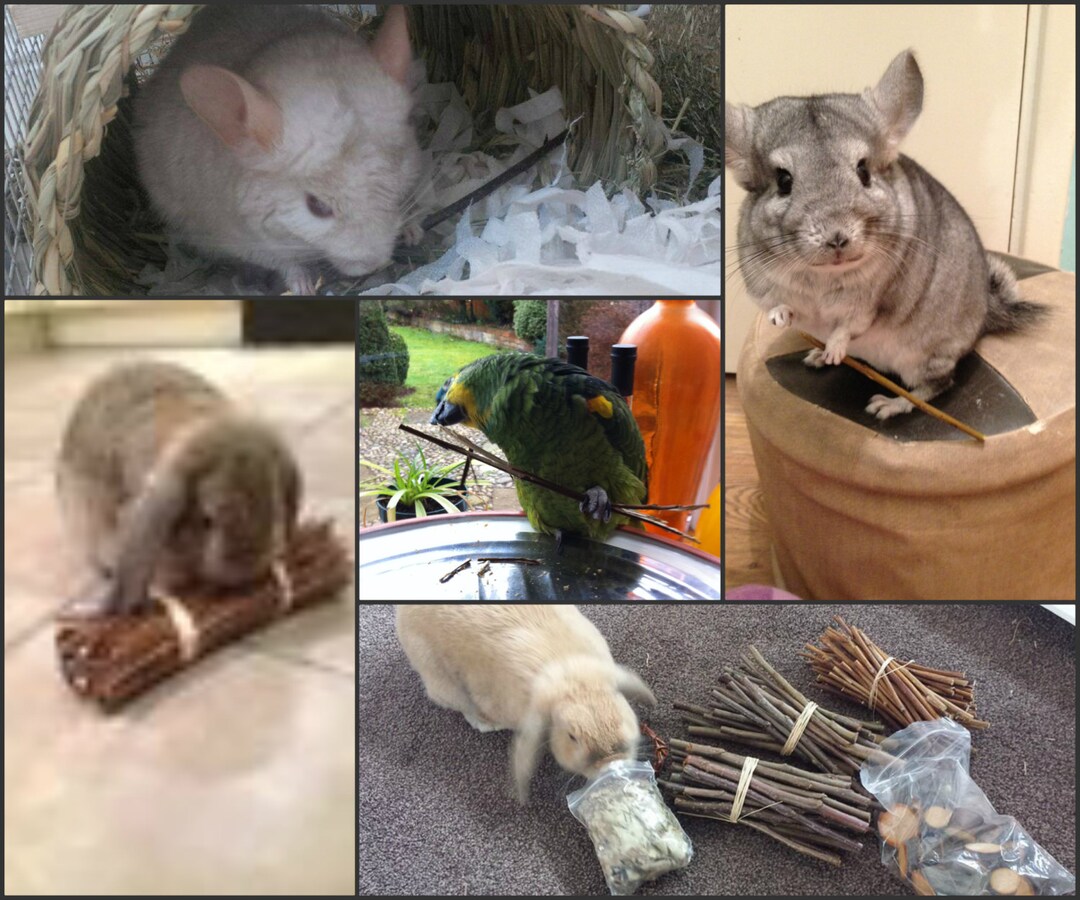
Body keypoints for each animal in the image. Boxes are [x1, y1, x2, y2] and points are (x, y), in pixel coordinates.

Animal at [133, 5, 423, 294]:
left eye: (398, 168)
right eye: (317, 207)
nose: (375, 264)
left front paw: (412, 230)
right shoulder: (238, 238)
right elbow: (284, 263)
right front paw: (303, 286)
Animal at [395, 604, 657, 802]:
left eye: (620, 717)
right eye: (572, 737)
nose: (610, 761)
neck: (573, 686)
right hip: (442, 681)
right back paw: (485, 722)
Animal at [725, 50, 1047, 419]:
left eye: (863, 170)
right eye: (783, 180)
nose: (837, 239)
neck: (823, 277)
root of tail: (984, 315)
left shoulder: (869, 304)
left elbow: (848, 327)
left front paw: (835, 351)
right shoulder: (760, 284)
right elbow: (774, 304)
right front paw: (785, 319)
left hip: (925, 358)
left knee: (935, 387)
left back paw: (887, 405)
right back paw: (816, 356)